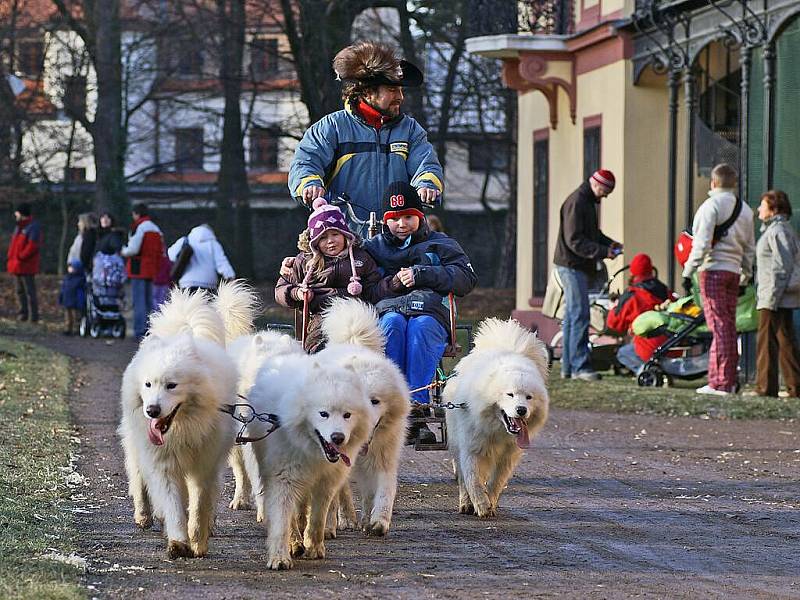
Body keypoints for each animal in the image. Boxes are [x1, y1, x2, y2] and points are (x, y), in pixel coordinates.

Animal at [117, 282, 256, 556]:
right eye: (148, 384)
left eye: (172, 385)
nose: (152, 410)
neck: (182, 429)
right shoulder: (165, 465)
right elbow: (173, 505)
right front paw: (178, 542)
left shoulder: (205, 464)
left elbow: (199, 503)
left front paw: (198, 539)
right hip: (137, 448)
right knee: (139, 480)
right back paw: (144, 515)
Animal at [242, 354, 370, 568]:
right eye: (323, 414)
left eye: (347, 415)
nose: (337, 437)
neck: (312, 451)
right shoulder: (283, 478)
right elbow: (282, 522)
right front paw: (280, 557)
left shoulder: (326, 482)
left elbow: (318, 518)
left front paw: (314, 548)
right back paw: (294, 543)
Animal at [316, 298, 410, 536]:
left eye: (375, 401)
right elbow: (331, 496)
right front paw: (327, 527)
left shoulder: (383, 455)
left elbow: (385, 490)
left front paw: (378, 522)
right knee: (343, 492)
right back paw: (347, 519)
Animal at [444, 318, 552, 520]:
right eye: (510, 394)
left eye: (529, 397)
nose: (521, 410)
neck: (497, 431)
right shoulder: (471, 449)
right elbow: (473, 481)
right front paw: (481, 505)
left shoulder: (507, 457)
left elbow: (496, 482)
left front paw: (490, 503)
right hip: (455, 442)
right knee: (461, 478)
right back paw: (465, 504)